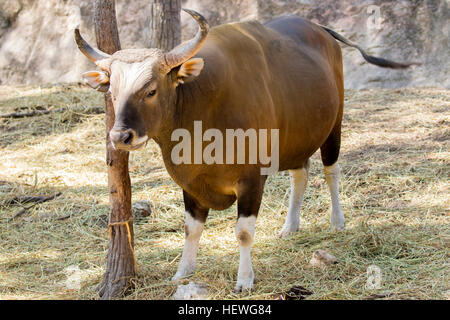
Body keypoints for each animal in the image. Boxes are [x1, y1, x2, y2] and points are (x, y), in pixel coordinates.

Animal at [75, 8, 416, 292]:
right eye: (112, 91)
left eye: (151, 90)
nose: (120, 135)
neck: (201, 108)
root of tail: (320, 29)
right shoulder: (191, 183)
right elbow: (191, 229)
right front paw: (183, 272)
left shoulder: (251, 180)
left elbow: (243, 232)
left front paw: (244, 279)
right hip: (295, 137)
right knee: (300, 174)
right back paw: (290, 226)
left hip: (334, 125)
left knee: (331, 170)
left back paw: (337, 221)